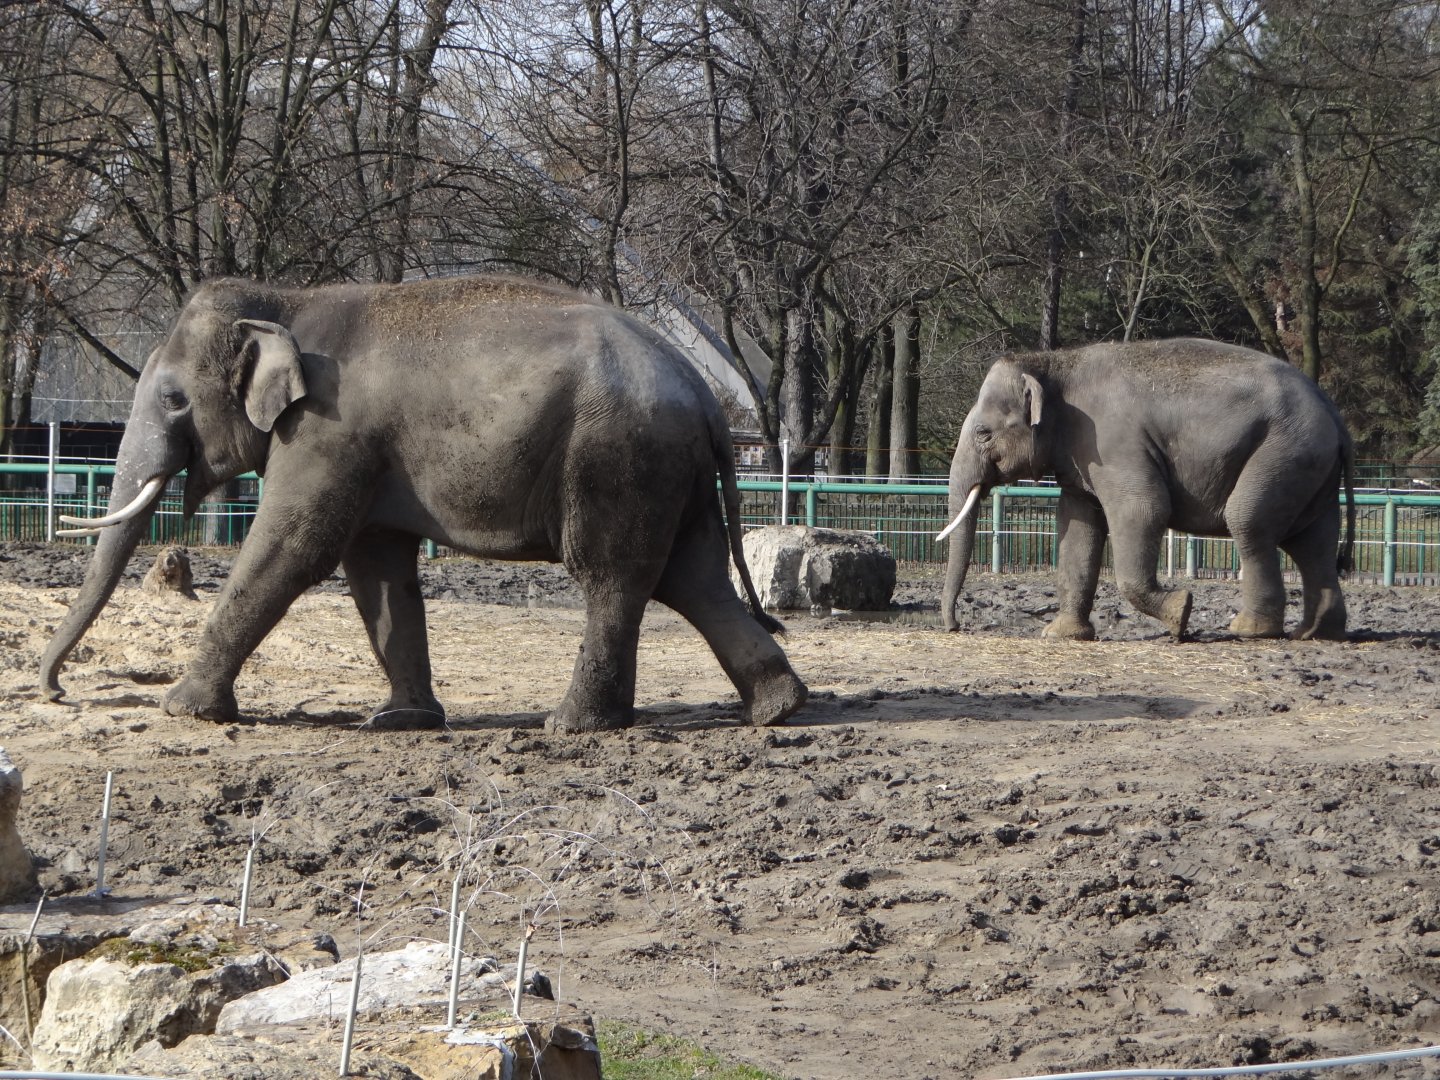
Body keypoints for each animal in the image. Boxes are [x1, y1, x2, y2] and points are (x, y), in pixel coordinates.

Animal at [41, 275, 809, 733]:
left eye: (174, 399)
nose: (55, 692)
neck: (283, 297)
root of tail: (705, 396)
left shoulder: (326, 433)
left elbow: (291, 549)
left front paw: (182, 709)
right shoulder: (362, 453)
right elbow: (376, 569)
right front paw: (402, 720)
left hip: (615, 459)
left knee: (614, 578)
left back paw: (572, 726)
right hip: (667, 473)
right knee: (694, 577)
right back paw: (779, 710)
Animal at [937, 338, 1356, 641]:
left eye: (983, 433)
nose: (956, 627)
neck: (1054, 362)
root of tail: (1334, 414)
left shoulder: (1112, 444)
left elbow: (1142, 510)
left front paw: (1181, 612)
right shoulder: (1080, 456)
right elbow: (1078, 526)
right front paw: (1061, 635)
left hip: (1284, 451)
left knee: (1250, 522)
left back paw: (1250, 631)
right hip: (1309, 466)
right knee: (1312, 541)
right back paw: (1316, 633)